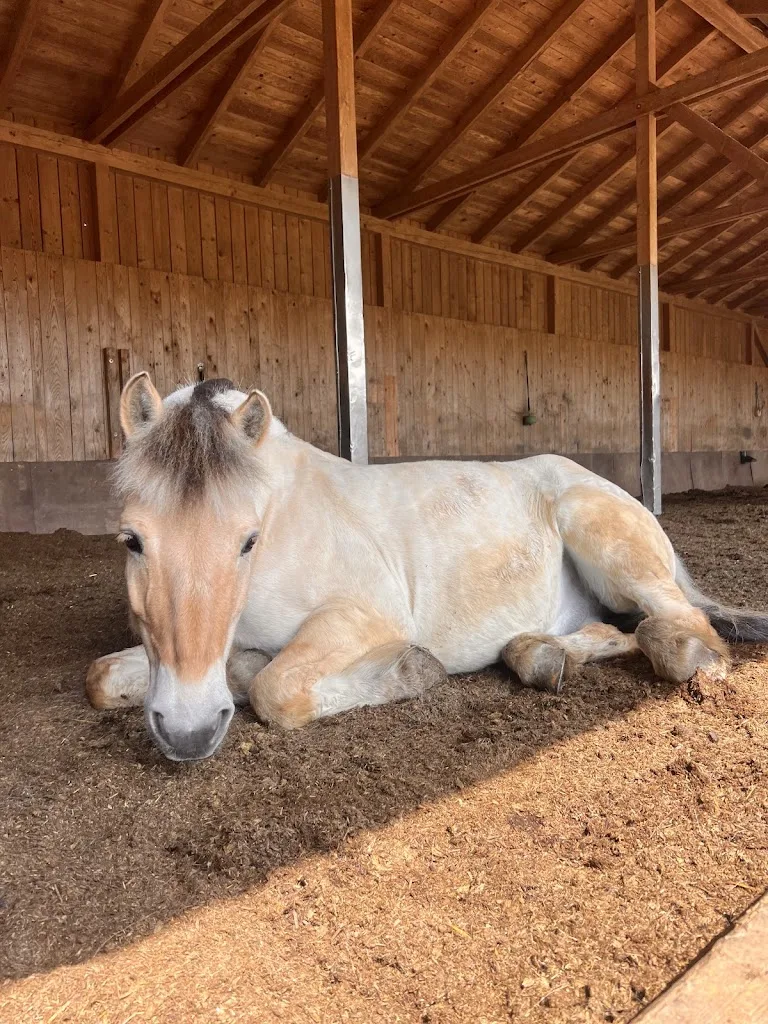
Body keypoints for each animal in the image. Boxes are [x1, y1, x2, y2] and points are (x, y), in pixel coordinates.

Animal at [86, 372, 768, 761]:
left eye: (247, 540)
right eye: (132, 540)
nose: (189, 731)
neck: (284, 520)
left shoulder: (363, 619)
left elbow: (274, 689)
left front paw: (411, 671)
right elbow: (103, 678)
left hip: (610, 546)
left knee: (681, 627)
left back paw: (685, 658)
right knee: (613, 631)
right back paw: (540, 655)